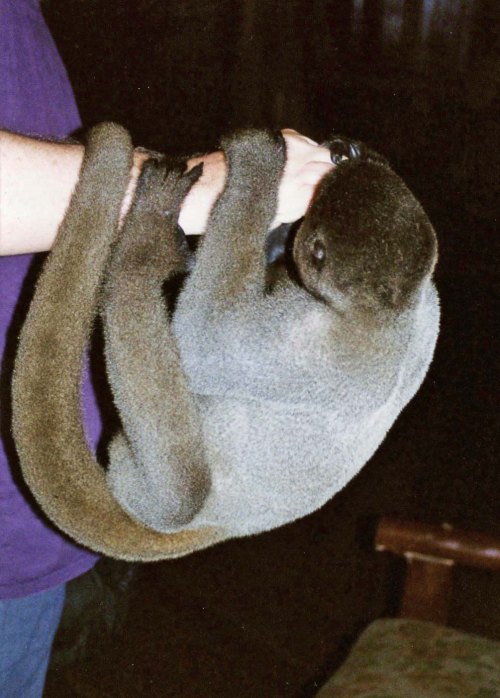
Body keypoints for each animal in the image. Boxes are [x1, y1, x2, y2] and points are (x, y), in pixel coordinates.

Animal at [12, 123, 439, 560]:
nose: (345, 158)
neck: (390, 312)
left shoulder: (311, 343)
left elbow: (201, 340)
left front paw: (257, 159)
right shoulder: (430, 309)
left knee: (185, 493)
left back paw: (145, 247)